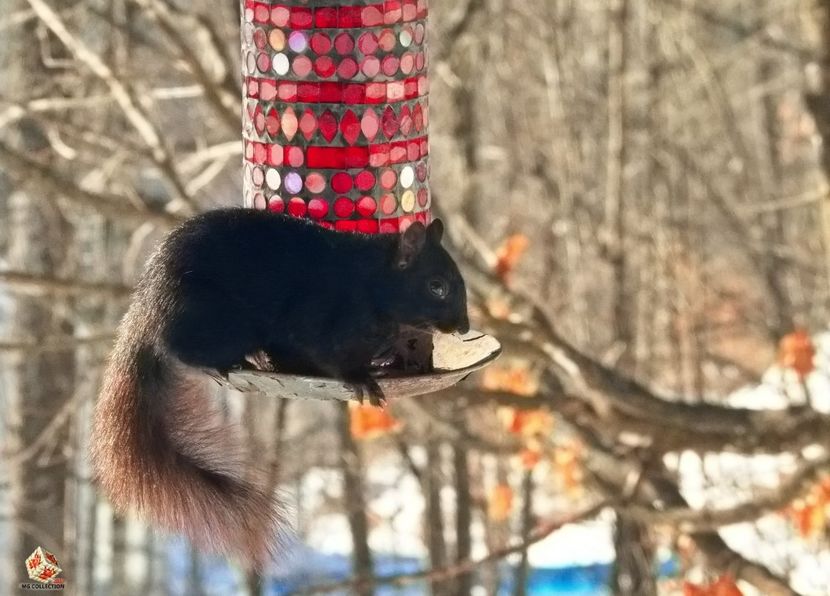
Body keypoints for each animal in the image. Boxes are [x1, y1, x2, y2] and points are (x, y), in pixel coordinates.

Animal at [90, 208, 469, 567]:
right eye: (436, 286)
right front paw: (362, 379)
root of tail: (149, 312)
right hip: (215, 322)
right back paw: (230, 363)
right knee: (183, 350)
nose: (464, 326)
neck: (370, 282)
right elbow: (328, 357)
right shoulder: (317, 322)